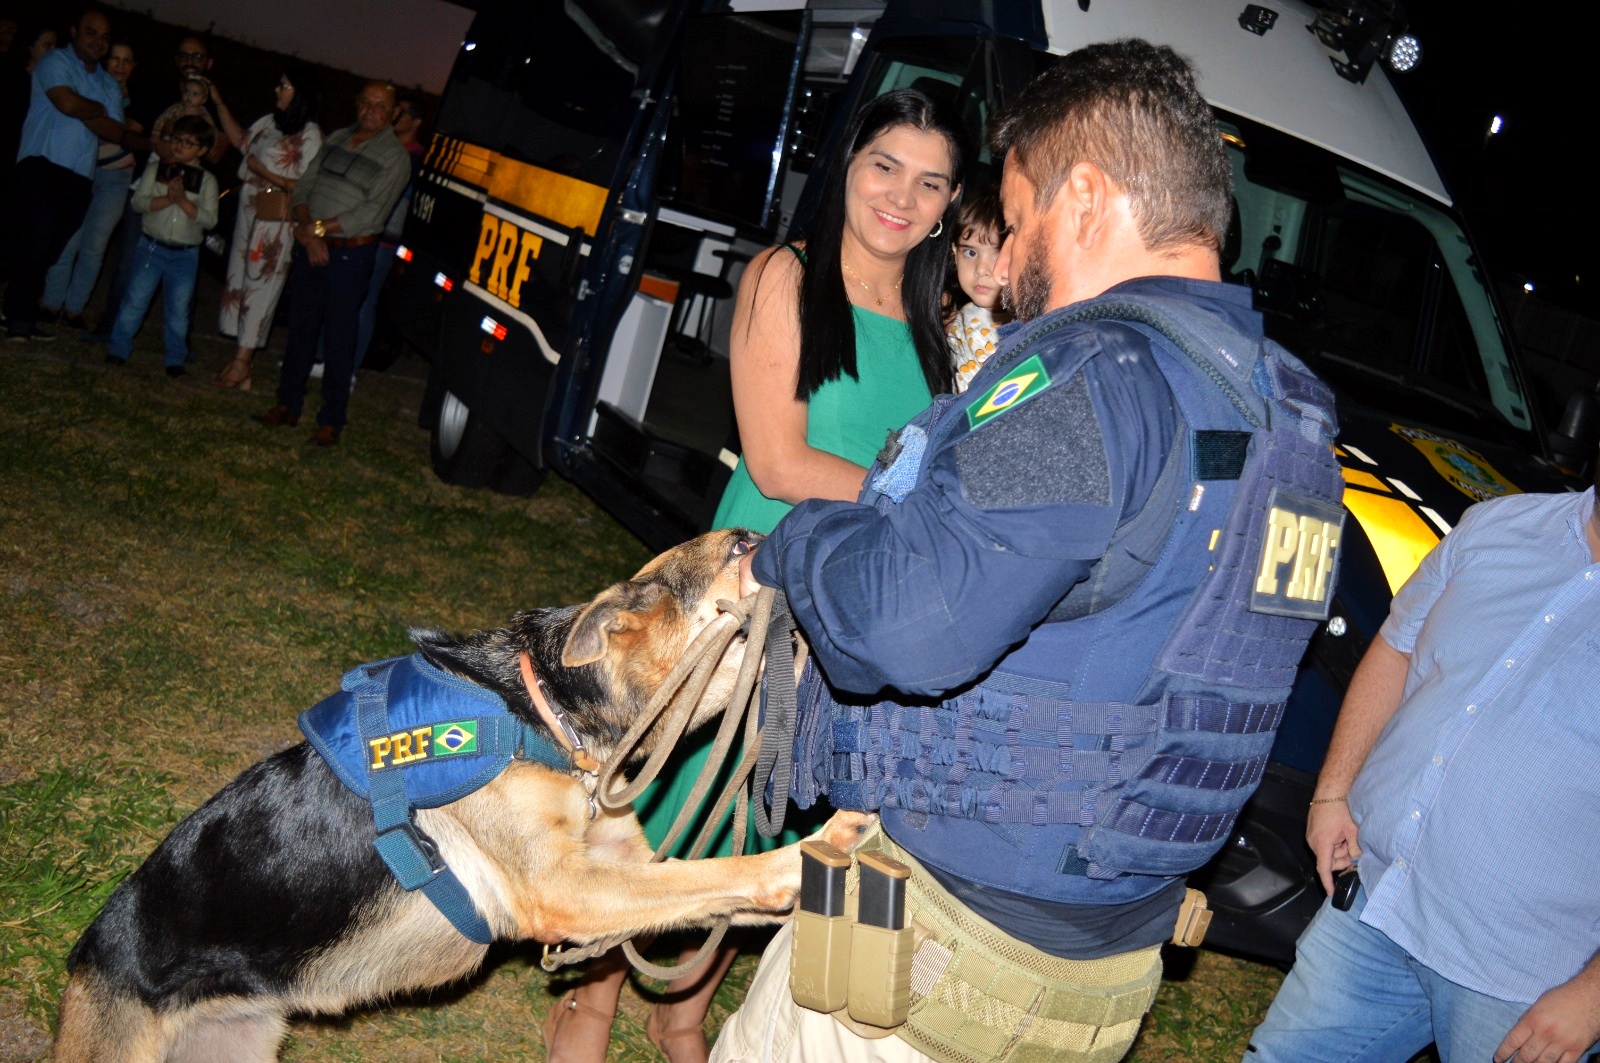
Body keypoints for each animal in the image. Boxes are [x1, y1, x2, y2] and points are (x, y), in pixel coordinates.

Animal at [53, 528, 864, 1056]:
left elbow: (709, 889)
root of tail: (89, 953)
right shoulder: (565, 887)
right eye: (743, 545)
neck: (544, 712)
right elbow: (724, 872)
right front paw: (815, 848)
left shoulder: (617, 866)